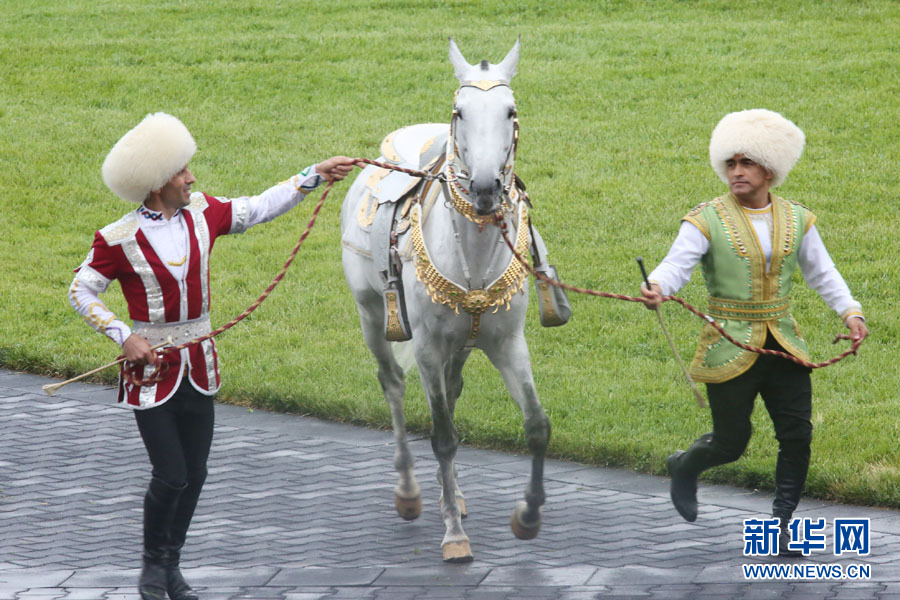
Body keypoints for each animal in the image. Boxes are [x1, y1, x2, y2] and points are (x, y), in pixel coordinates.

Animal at [340, 38, 550, 563]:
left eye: (511, 110)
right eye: (459, 112)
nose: (484, 187)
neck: (472, 255)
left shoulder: (507, 342)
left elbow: (536, 424)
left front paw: (527, 517)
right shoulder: (428, 346)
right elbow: (441, 436)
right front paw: (454, 536)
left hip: (463, 344)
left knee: (452, 394)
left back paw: (450, 493)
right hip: (372, 314)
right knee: (392, 383)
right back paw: (411, 492)